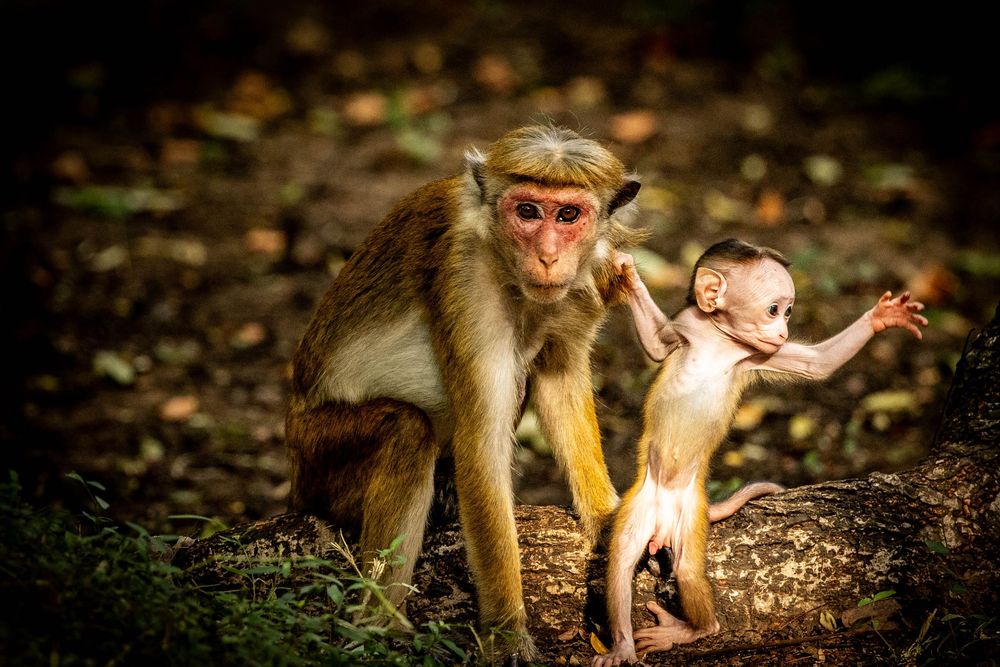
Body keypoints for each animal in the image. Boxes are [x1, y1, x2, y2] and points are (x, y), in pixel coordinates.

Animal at [285, 125, 646, 661]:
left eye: (568, 215)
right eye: (527, 211)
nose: (548, 256)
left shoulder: (585, 283)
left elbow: (558, 379)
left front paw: (605, 516)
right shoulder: (467, 284)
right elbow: (483, 446)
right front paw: (506, 633)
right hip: (317, 456)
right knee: (406, 429)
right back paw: (378, 623)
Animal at [594, 239, 928, 665]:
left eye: (788, 312)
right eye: (773, 309)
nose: (782, 330)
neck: (721, 340)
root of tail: (665, 517)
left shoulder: (758, 354)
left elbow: (818, 365)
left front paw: (883, 317)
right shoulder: (688, 326)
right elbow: (657, 345)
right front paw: (629, 273)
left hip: (691, 511)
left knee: (687, 571)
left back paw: (695, 630)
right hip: (642, 500)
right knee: (620, 562)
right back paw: (622, 645)